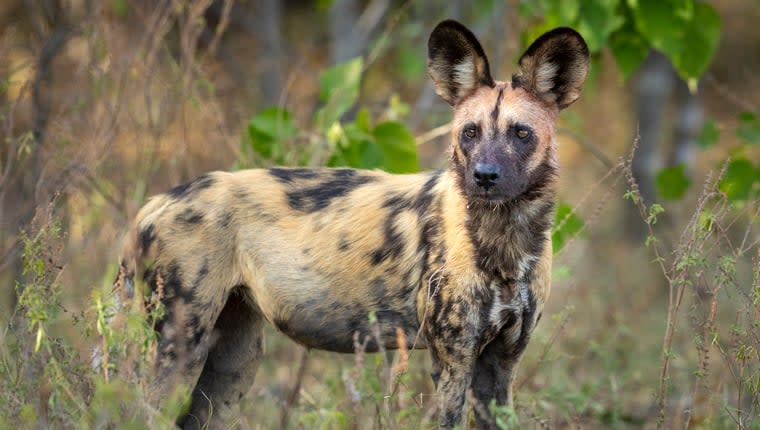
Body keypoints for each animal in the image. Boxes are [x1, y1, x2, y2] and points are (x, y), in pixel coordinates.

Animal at [114, 20, 588, 430]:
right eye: (470, 132)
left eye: (521, 133)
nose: (484, 176)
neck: (505, 241)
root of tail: (158, 201)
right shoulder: (453, 363)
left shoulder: (500, 365)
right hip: (180, 349)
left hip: (234, 361)